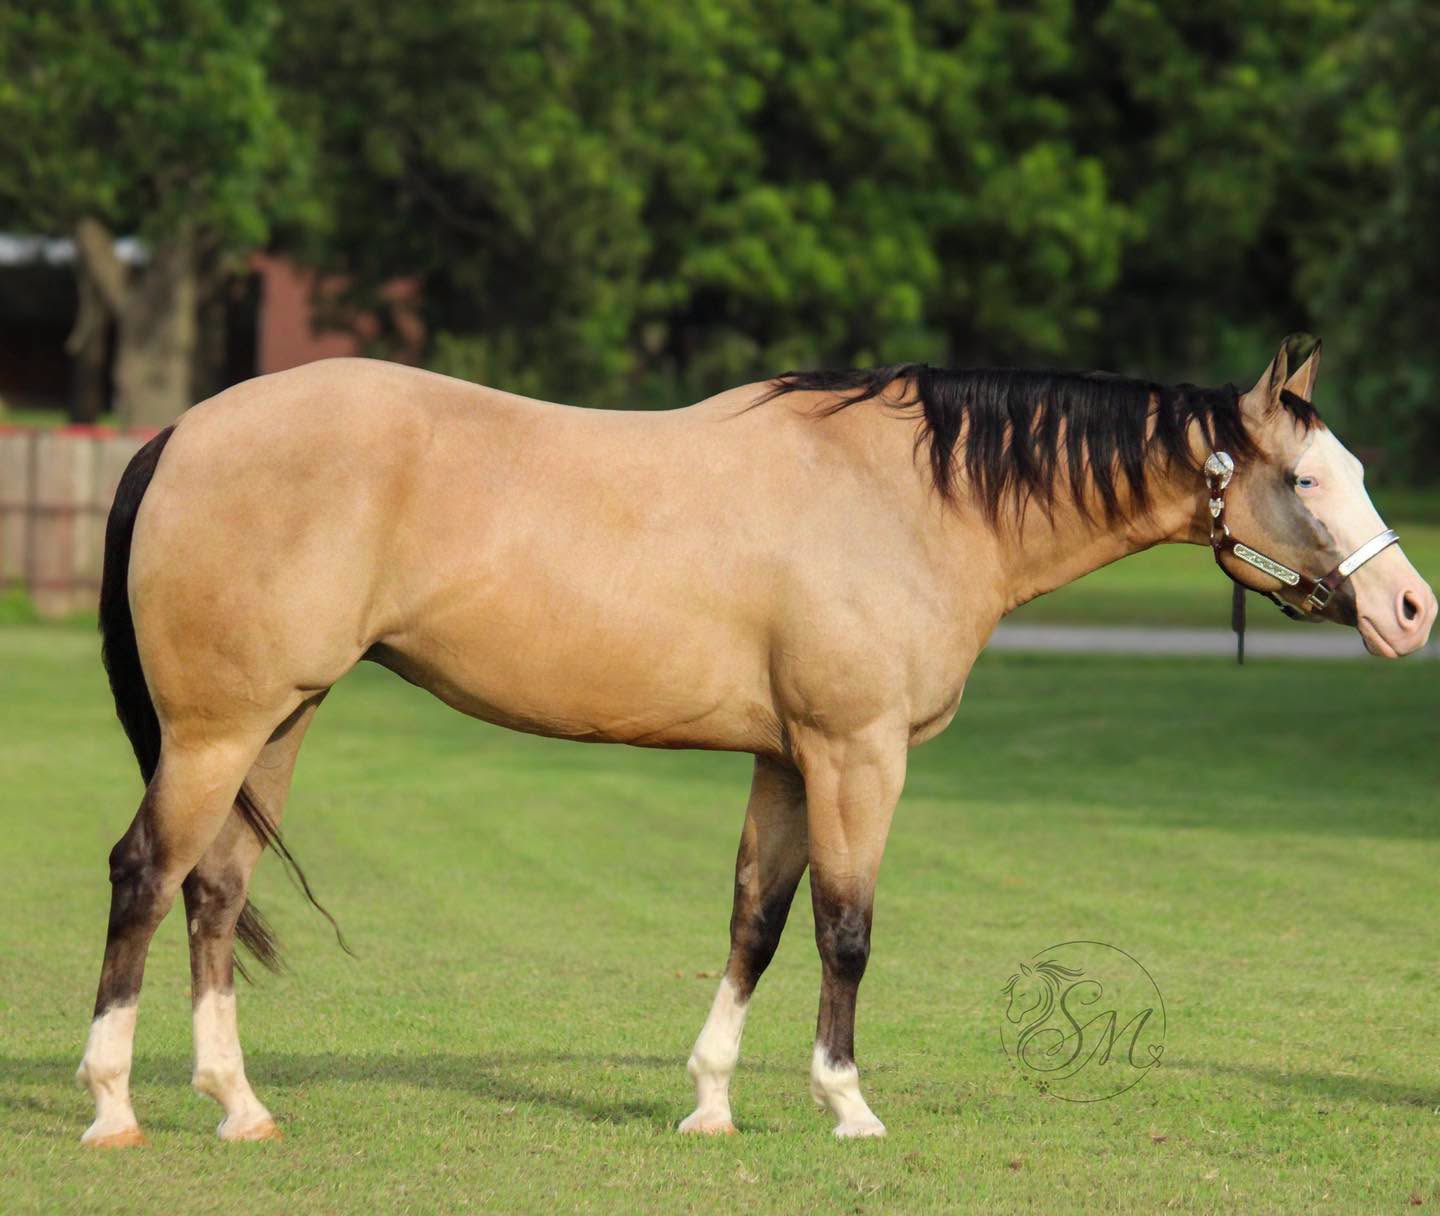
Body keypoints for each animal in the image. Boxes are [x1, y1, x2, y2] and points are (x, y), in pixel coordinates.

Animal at [75, 335, 1435, 1146]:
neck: (916, 497)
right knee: (145, 874)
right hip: (219, 729)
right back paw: (111, 1104)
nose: (1411, 609)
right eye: (1307, 482)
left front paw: (712, 1102)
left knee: (213, 889)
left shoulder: (788, 758)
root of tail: (185, 433)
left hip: (278, 720)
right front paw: (848, 1104)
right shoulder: (856, 751)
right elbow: (846, 928)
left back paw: (239, 1105)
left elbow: (757, 923)